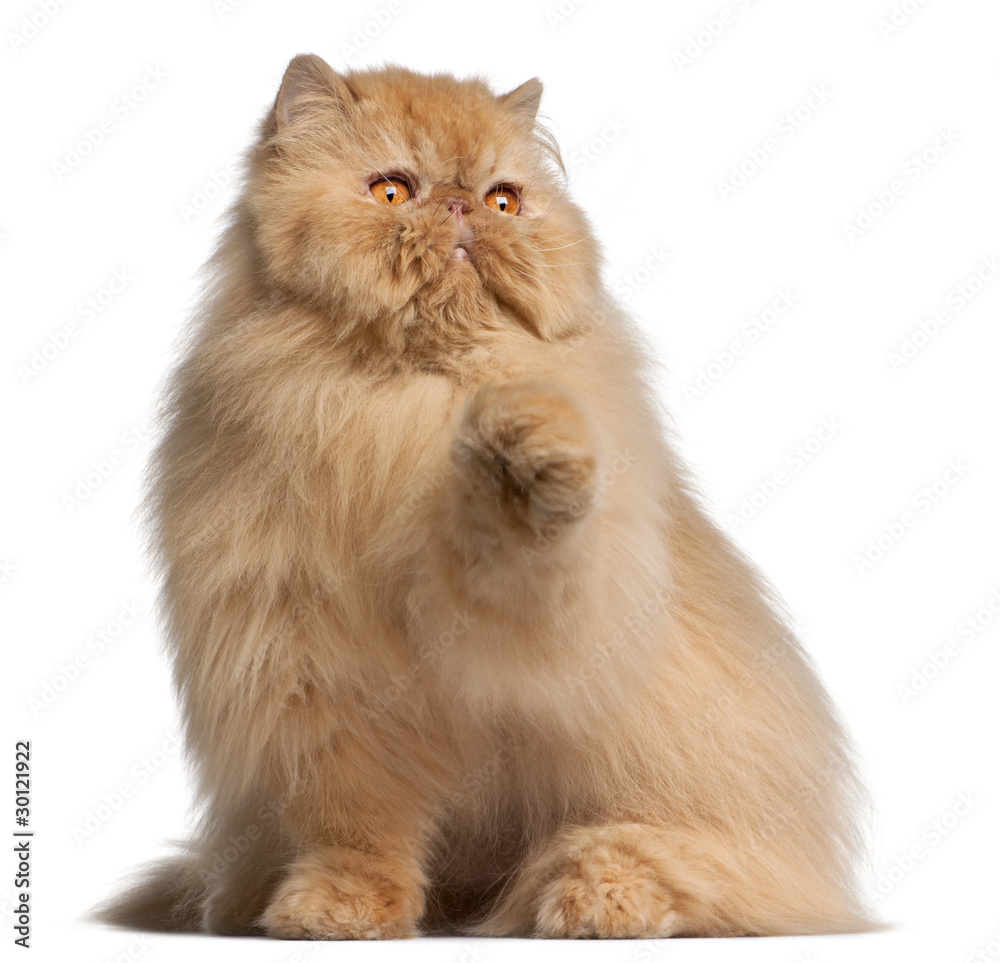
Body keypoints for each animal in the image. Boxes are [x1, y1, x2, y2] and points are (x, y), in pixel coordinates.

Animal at [95, 54, 876, 940]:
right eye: (393, 190)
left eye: (505, 199)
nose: (462, 205)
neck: (406, 404)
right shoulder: (317, 671)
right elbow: (354, 828)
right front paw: (339, 910)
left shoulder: (541, 617)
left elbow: (530, 541)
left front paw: (522, 441)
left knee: (686, 862)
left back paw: (597, 893)